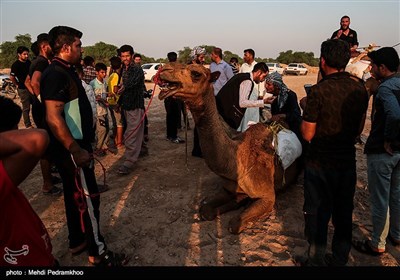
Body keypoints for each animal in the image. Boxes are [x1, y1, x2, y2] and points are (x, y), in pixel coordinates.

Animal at [156, 64, 300, 234]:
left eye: (196, 73)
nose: (163, 70)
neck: (236, 160)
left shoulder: (268, 196)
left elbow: (234, 224)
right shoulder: (228, 188)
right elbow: (206, 210)